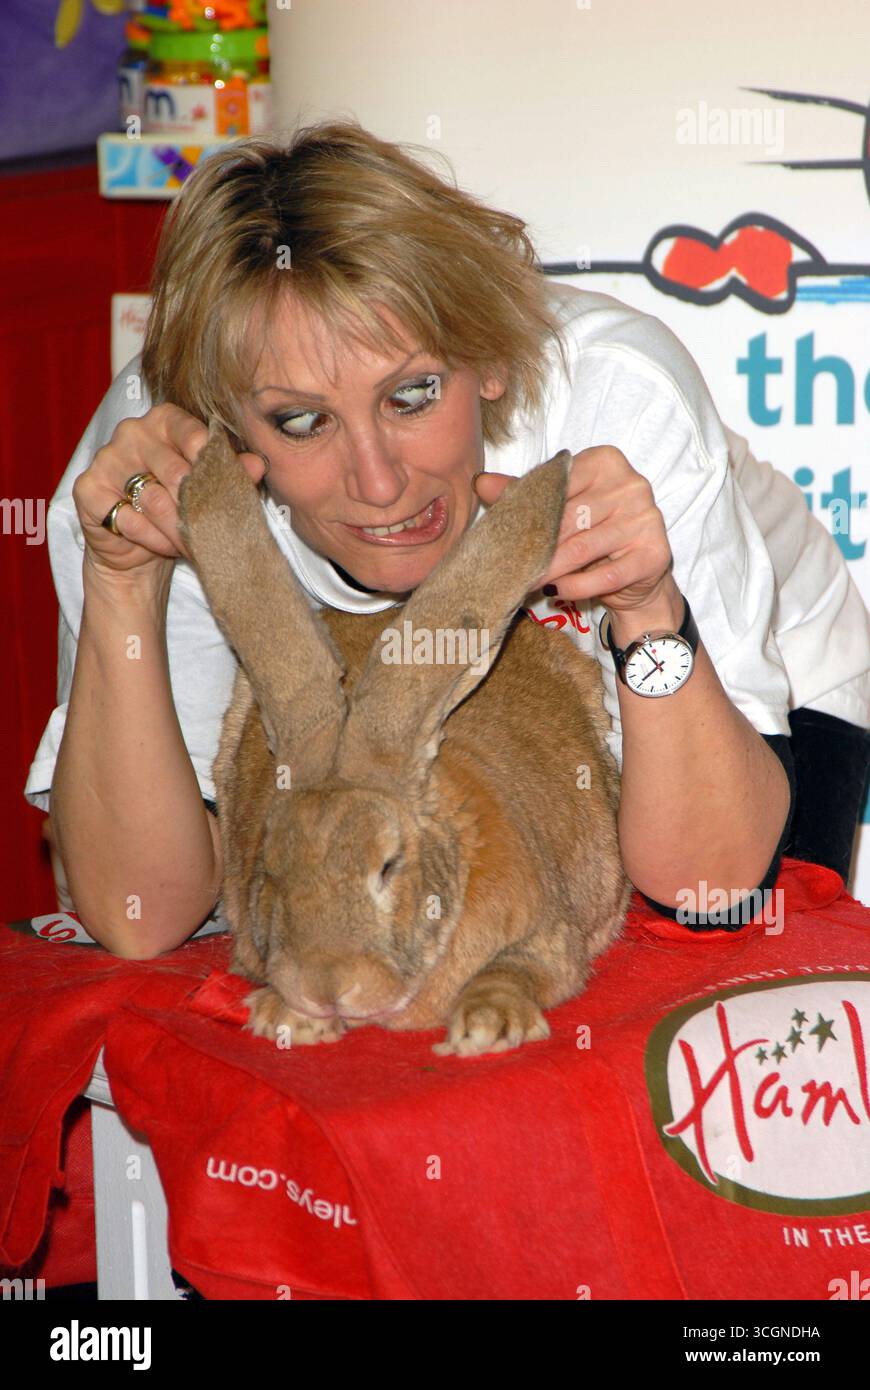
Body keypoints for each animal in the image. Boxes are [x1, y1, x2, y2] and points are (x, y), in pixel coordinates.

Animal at [177, 420, 631, 1057]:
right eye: (271, 872)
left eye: (388, 866)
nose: (327, 985)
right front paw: (283, 1015)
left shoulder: (553, 943)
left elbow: (515, 970)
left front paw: (486, 1026)